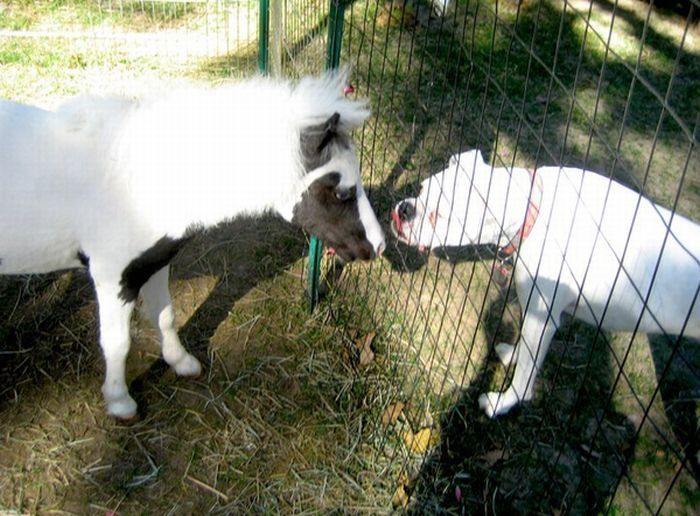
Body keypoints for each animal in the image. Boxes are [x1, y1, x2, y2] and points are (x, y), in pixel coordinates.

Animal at [0, 70, 388, 420]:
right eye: (342, 191)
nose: (380, 245)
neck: (136, 181)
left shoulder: (154, 264)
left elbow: (165, 316)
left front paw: (182, 362)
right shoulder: (113, 277)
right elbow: (117, 342)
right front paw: (120, 403)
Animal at [392, 150, 700, 420]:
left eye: (439, 215)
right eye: (421, 188)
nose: (404, 210)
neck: (533, 213)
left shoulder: (542, 319)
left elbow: (525, 375)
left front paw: (502, 403)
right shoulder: (534, 312)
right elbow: (525, 349)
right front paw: (511, 355)